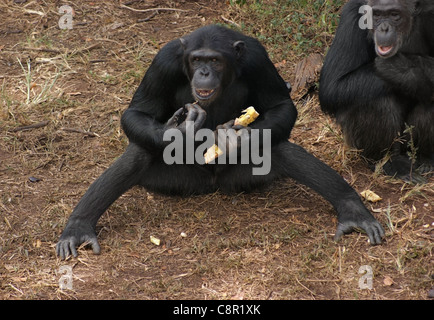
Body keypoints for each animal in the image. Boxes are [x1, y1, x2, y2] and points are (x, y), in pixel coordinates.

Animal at [56, 25, 384, 260]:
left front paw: (235, 139)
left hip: (241, 176)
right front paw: (182, 132)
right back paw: (79, 226)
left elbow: (281, 106)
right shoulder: (164, 61)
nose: (203, 71)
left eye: (214, 60)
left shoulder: (257, 58)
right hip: (176, 179)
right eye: (196, 60)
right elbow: (137, 112)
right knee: (139, 152)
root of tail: (211, 184)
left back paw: (351, 208)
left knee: (278, 147)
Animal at [318, 0, 434, 184]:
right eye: (377, 15)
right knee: (373, 100)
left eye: (394, 15)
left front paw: (400, 68)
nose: (384, 28)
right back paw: (389, 162)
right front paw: (397, 69)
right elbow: (332, 85)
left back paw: (426, 159)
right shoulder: (351, 17)